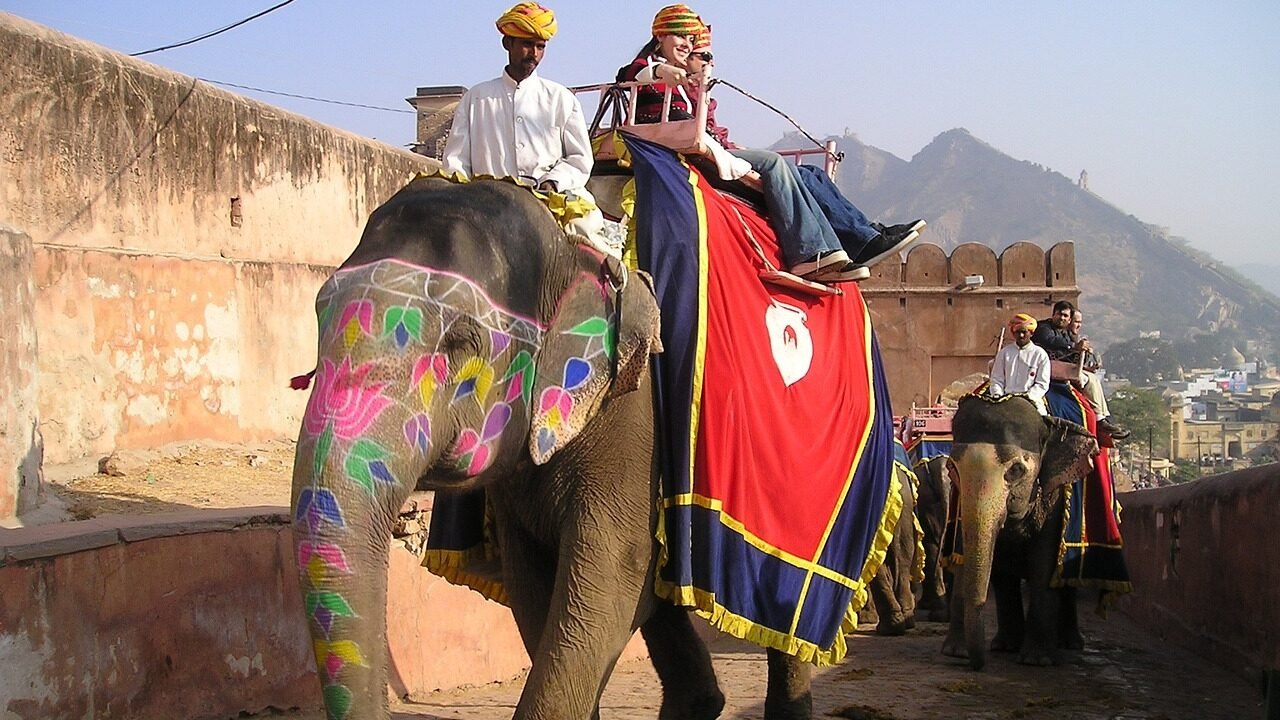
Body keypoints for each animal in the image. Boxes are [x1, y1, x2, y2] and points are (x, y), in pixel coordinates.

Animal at [289, 174, 814, 717]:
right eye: (319, 315)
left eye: (460, 342)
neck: (570, 245)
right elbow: (535, 582)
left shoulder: (637, 417)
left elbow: (612, 575)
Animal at [936, 392, 1095, 666]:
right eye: (953, 468)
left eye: (1017, 470)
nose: (976, 665)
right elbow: (973, 555)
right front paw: (956, 651)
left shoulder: (1053, 493)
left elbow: (1044, 561)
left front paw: (1038, 660)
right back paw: (1005, 645)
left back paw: (1069, 643)